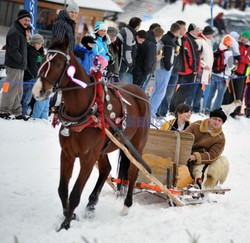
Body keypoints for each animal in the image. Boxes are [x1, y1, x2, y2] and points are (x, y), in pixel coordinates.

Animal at [32, 39, 151, 230]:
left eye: (58, 64)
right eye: (43, 60)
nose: (37, 91)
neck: (85, 109)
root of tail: (141, 92)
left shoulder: (88, 157)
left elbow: (75, 193)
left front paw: (65, 224)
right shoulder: (67, 154)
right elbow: (62, 189)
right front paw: (70, 215)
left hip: (135, 145)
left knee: (133, 171)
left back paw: (126, 206)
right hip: (103, 149)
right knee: (106, 169)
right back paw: (91, 205)